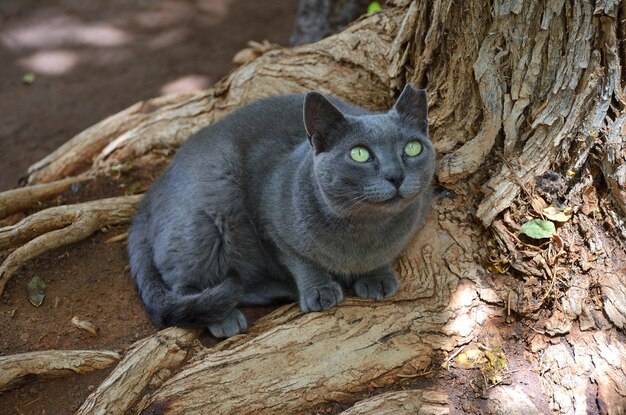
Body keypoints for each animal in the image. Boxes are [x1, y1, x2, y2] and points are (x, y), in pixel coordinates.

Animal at [127, 84, 434, 338]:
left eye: (412, 148)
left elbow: (385, 254)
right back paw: (226, 317)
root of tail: (150, 194)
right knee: (187, 285)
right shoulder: (271, 227)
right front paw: (318, 289)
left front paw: (377, 276)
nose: (396, 175)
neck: (364, 231)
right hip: (212, 195)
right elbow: (301, 259)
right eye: (360, 154)